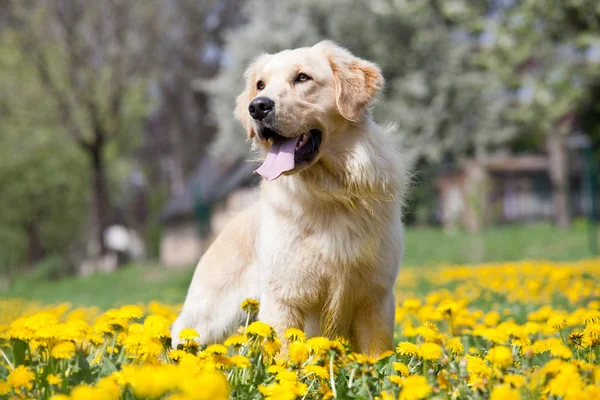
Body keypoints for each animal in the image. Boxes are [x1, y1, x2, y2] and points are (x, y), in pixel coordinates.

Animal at [171, 40, 410, 354]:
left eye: (302, 78)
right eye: (260, 85)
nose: (257, 107)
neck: (329, 191)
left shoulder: (376, 297)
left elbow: (377, 356)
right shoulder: (284, 299)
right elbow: (287, 355)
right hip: (207, 318)